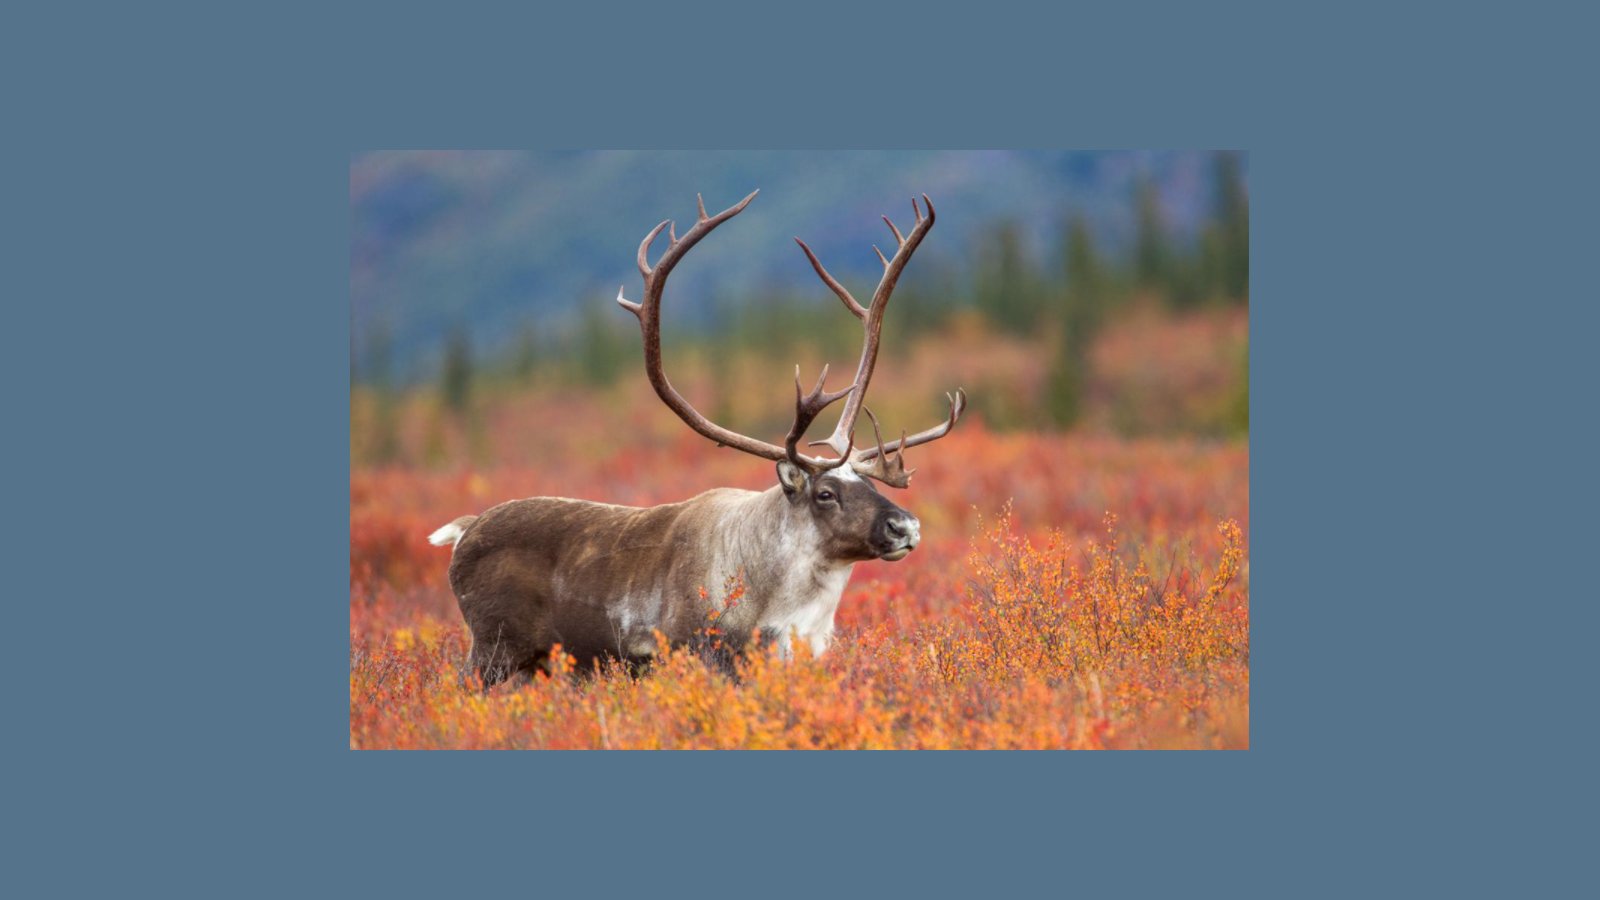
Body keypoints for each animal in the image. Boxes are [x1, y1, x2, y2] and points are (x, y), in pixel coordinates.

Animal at [428, 190, 966, 685]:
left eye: (870, 483)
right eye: (826, 493)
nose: (905, 526)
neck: (785, 610)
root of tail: (465, 530)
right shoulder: (700, 655)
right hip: (492, 652)